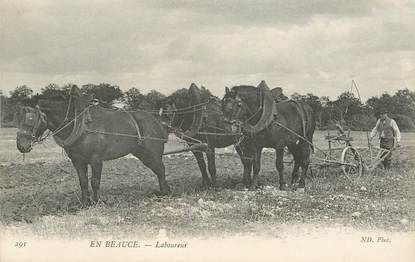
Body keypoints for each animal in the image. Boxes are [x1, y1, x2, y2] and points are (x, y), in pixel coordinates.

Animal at [15, 85, 171, 205]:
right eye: (18, 117)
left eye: (30, 118)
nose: (21, 146)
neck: (80, 124)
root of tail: (156, 120)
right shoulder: (77, 160)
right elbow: (83, 181)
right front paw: (85, 203)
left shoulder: (96, 159)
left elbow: (95, 181)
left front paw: (97, 202)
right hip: (142, 154)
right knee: (159, 170)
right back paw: (164, 191)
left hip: (152, 154)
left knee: (161, 170)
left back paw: (164, 193)